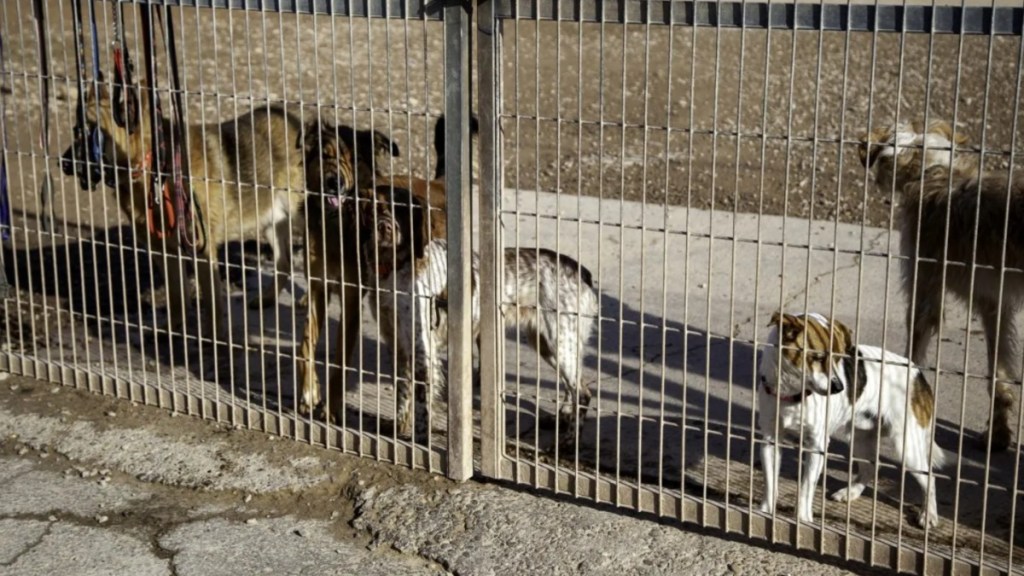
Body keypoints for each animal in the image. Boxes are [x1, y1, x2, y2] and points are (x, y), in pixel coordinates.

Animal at [60, 82, 305, 342]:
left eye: (92, 135)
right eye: (76, 131)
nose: (62, 163)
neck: (154, 169)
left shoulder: (203, 251)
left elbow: (212, 302)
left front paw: (212, 337)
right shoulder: (164, 252)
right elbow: (177, 297)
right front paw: (173, 328)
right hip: (271, 221)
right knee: (285, 263)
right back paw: (267, 298)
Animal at [757, 311, 946, 528]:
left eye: (839, 359)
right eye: (818, 357)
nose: (839, 388)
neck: (792, 393)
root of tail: (917, 372)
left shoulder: (816, 445)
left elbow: (805, 489)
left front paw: (803, 520)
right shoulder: (770, 439)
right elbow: (770, 483)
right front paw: (765, 513)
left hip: (907, 447)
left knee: (930, 478)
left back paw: (928, 514)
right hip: (859, 438)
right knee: (871, 468)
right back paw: (851, 492)